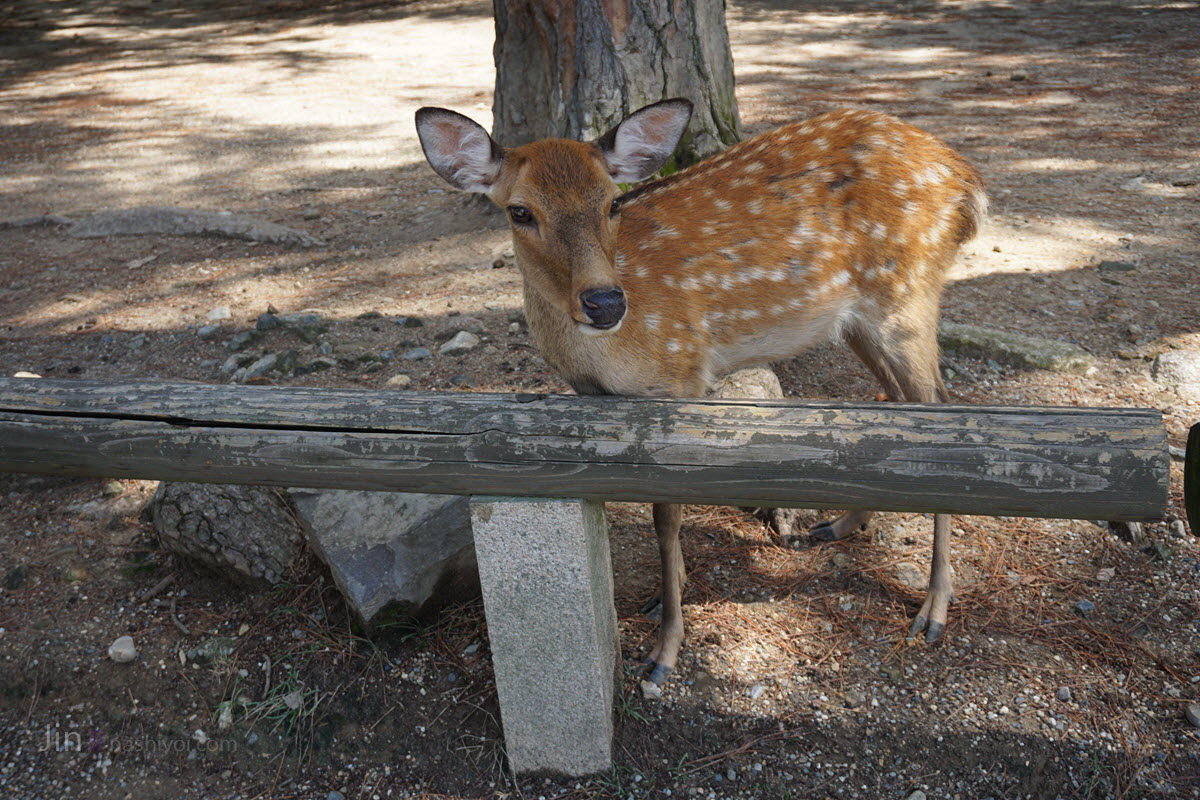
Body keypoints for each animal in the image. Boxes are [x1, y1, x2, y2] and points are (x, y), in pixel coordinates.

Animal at [415, 98, 986, 691]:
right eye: (520, 212)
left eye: (613, 201)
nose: (604, 302)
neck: (602, 356)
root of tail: (965, 178)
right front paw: (669, 595)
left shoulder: (680, 378)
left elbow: (665, 516)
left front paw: (665, 650)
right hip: (861, 320)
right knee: (899, 409)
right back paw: (838, 525)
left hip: (906, 295)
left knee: (943, 413)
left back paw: (934, 609)